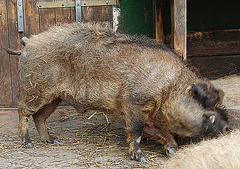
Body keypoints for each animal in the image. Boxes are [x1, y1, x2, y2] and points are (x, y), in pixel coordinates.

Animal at [7, 22, 229, 162]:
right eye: (208, 111)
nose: (228, 127)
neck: (168, 88)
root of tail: (28, 43)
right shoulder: (134, 104)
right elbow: (136, 131)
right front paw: (141, 159)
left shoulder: (140, 114)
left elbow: (157, 132)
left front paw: (172, 149)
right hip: (38, 89)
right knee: (23, 109)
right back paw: (28, 144)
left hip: (55, 96)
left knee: (40, 116)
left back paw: (52, 140)